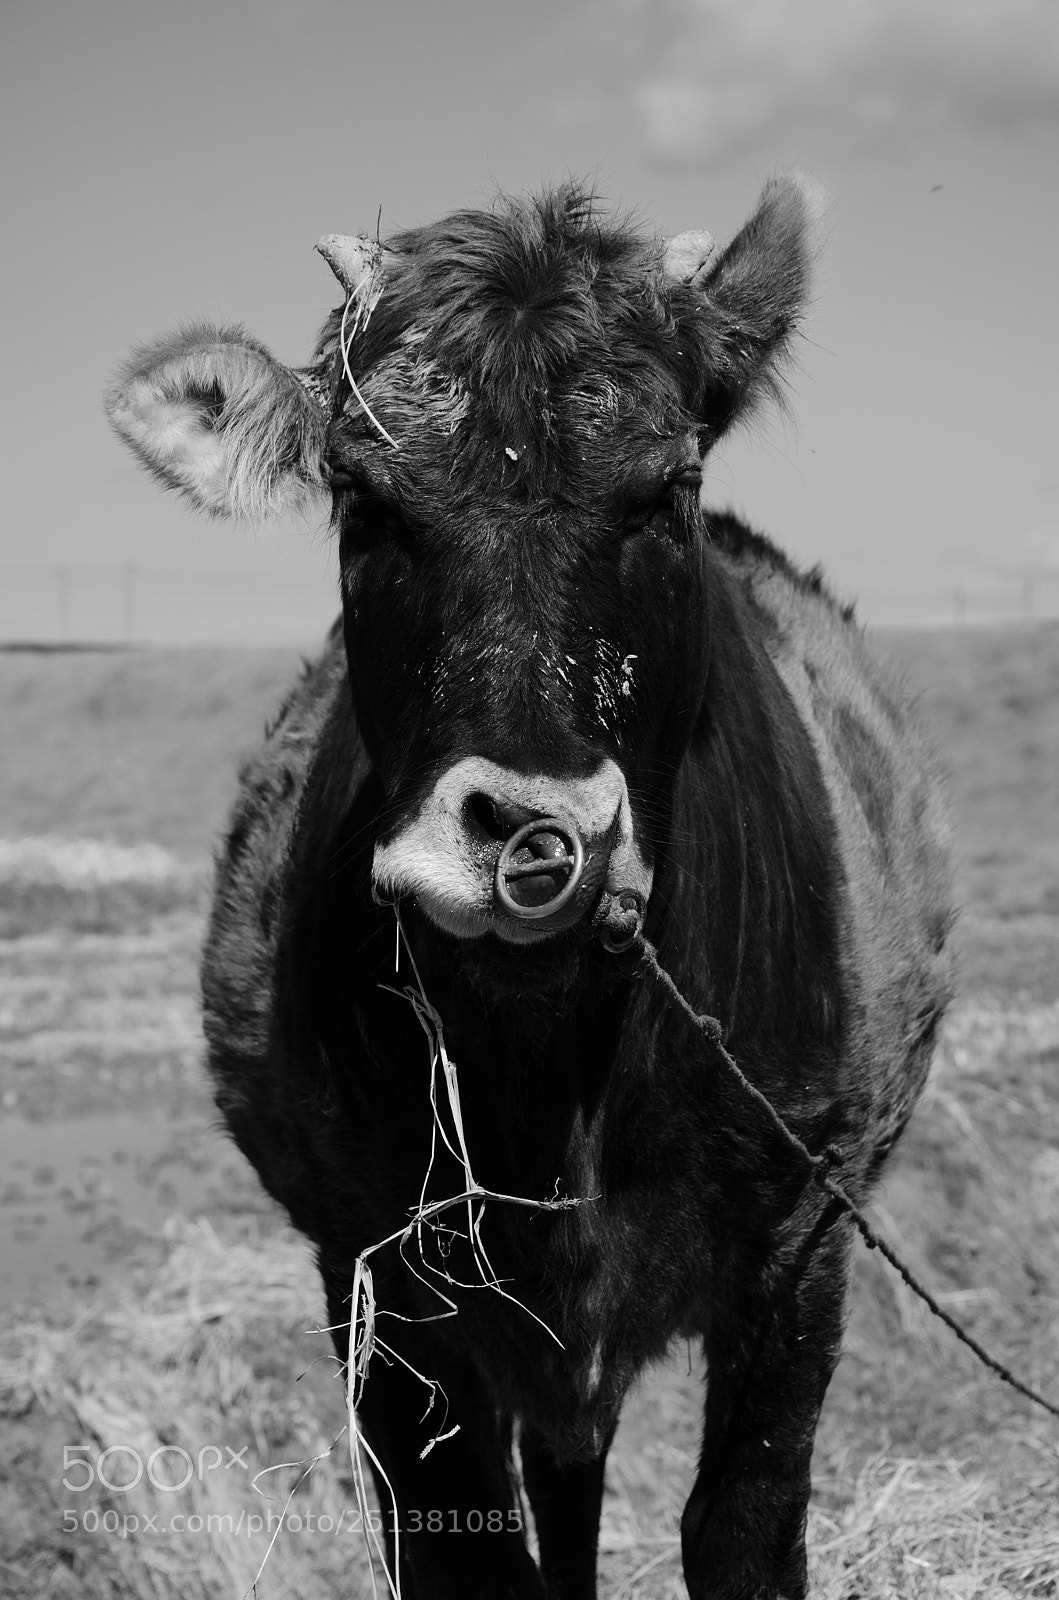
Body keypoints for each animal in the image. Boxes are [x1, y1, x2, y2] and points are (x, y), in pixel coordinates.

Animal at [106, 176, 954, 1600]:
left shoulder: (805, 1239)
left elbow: (741, 1524)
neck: (557, 1071)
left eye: (672, 487)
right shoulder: (376, 1286)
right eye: (360, 496)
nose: (533, 836)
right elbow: (469, 1547)